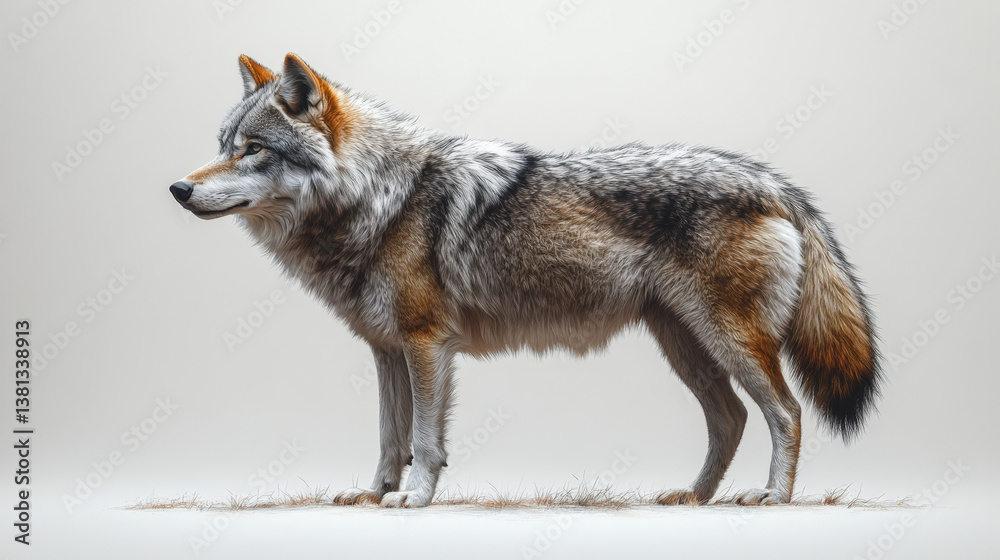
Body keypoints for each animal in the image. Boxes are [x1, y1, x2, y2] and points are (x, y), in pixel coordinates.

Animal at [170, 54, 882, 508]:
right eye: (224, 146)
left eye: (254, 150)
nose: (178, 188)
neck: (382, 199)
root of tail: (772, 180)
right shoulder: (387, 350)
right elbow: (388, 439)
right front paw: (373, 495)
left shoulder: (427, 345)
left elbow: (424, 440)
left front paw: (414, 500)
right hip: (686, 346)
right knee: (731, 418)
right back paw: (694, 497)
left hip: (730, 342)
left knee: (786, 412)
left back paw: (772, 496)